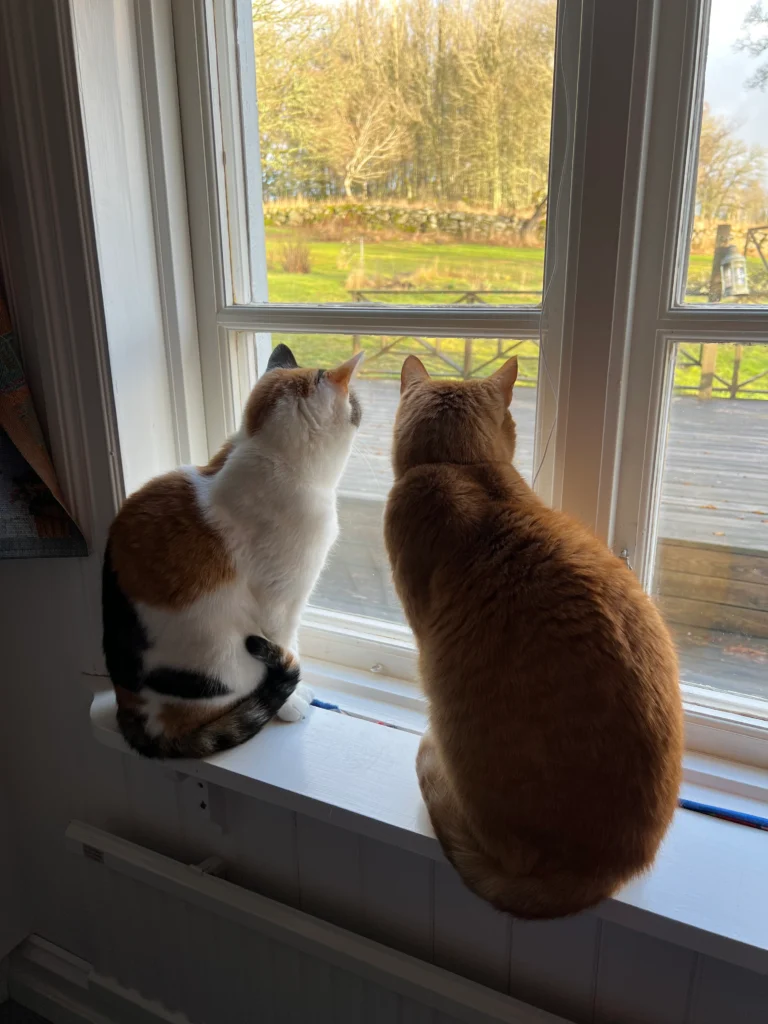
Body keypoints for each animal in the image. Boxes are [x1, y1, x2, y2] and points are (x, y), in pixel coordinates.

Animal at [102, 348, 364, 757]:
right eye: (356, 404)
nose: (360, 407)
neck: (267, 454)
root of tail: (135, 714)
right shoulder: (281, 600)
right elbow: (288, 643)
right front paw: (291, 702)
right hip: (225, 659)